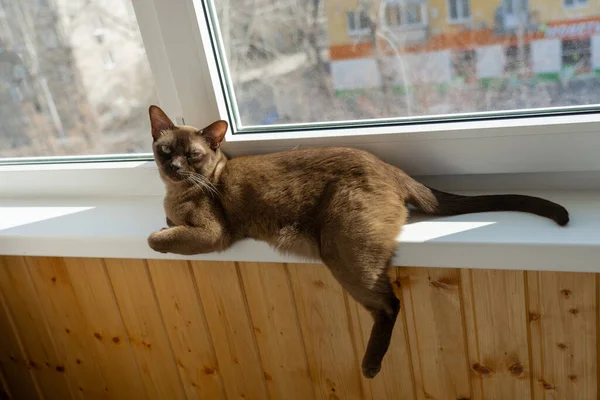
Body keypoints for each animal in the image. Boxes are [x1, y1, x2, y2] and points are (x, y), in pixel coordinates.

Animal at [145, 105, 568, 378]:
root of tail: (390, 168)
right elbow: (166, 225)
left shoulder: (212, 233)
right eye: (165, 151)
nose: (175, 167)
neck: (175, 192)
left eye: (192, 156)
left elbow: (156, 238)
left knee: (390, 305)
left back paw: (370, 368)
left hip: (343, 252)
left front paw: (160, 234)